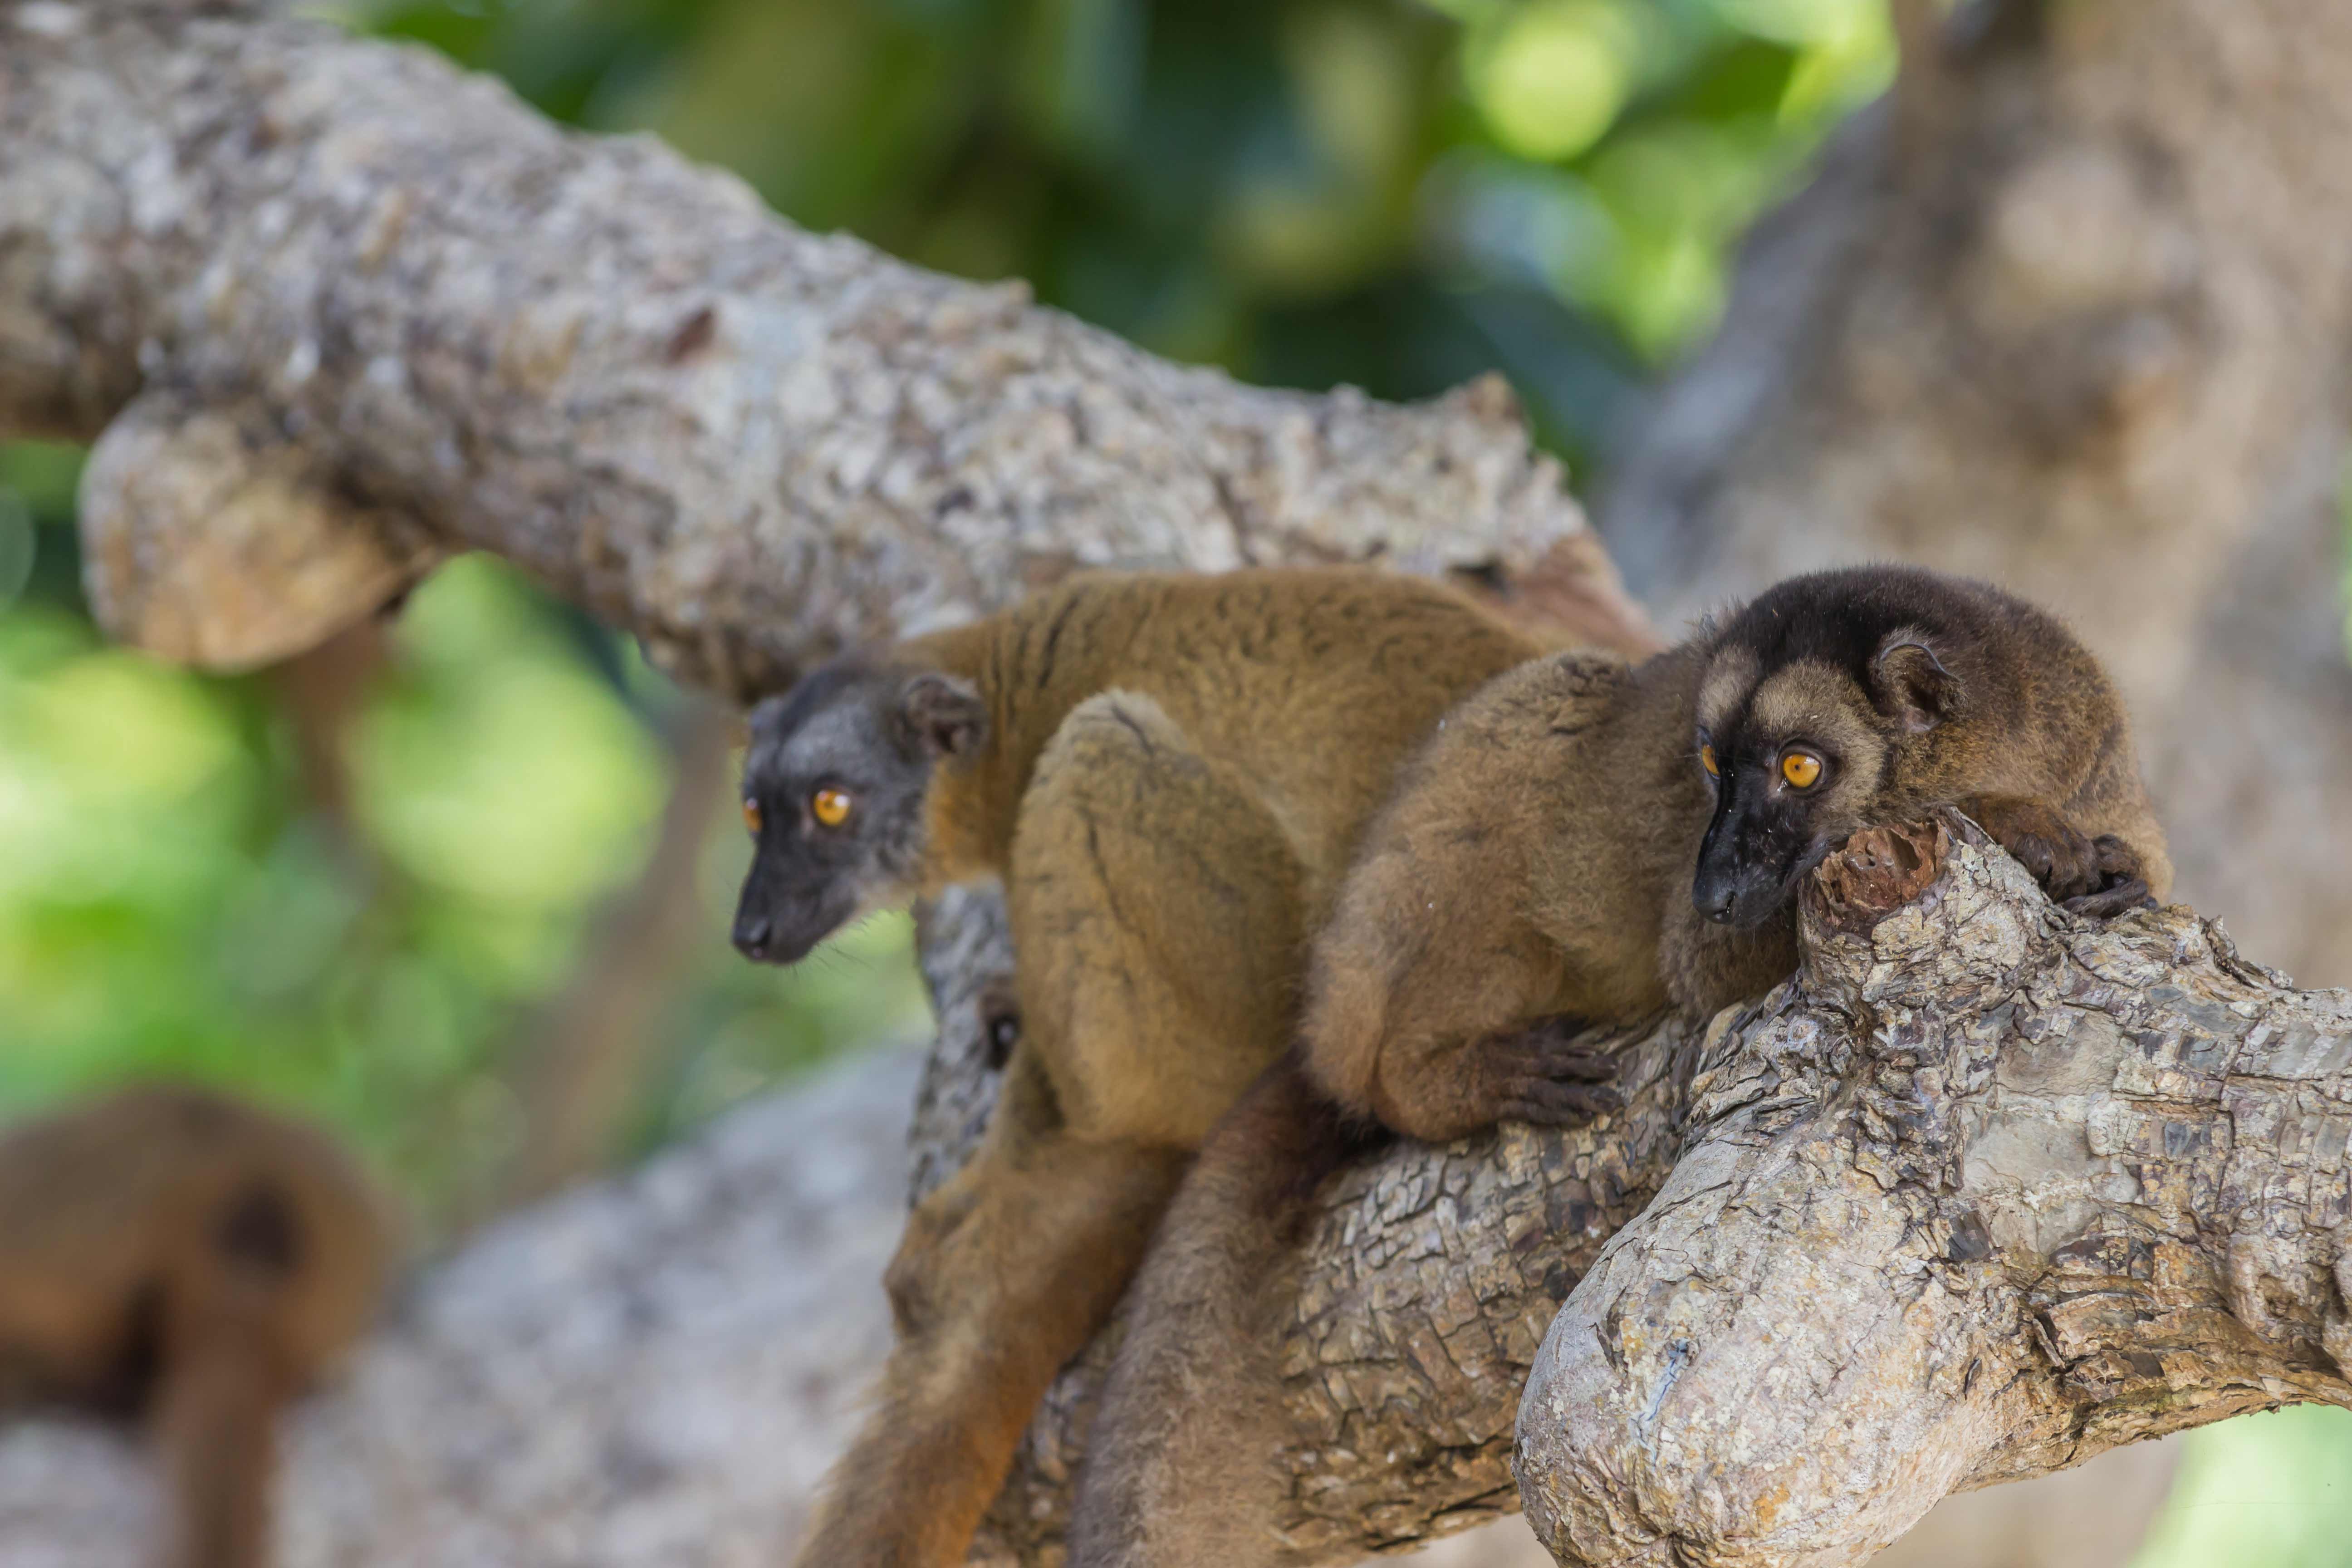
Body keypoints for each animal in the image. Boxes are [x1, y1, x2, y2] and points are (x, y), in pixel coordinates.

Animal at [726, 566, 1632, 1568]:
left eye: (831, 807)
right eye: (756, 813)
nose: (752, 928)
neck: (1015, 691)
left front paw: (1001, 1169)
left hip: (1249, 985)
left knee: (1101, 751)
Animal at [1068, 564, 2170, 1567]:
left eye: (1800, 770)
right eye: (1710, 763)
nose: (1714, 884)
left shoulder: (2099, 754)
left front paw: (2101, 875)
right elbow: (1706, 967)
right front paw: (2021, 826)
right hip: (1369, 965)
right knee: (1549, 704)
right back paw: (1442, 1077)